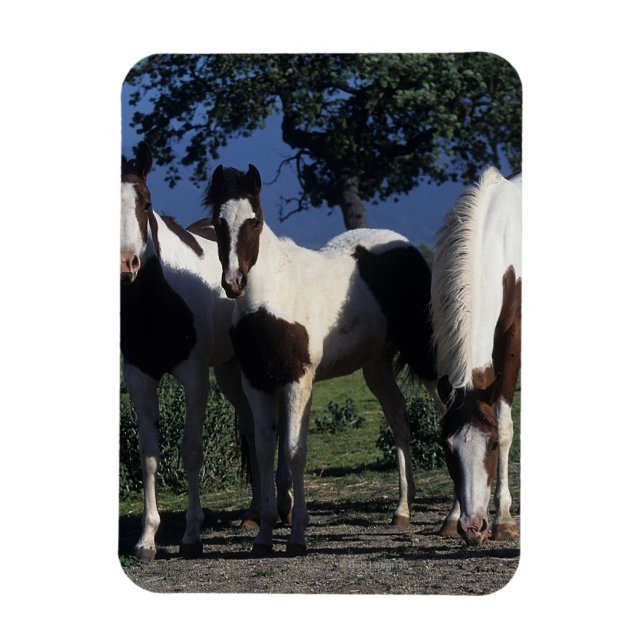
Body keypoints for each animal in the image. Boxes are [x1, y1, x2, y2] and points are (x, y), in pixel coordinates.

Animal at [120, 143, 292, 561]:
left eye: (146, 202)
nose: (127, 263)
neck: (157, 299)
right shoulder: (138, 376)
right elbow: (149, 455)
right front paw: (146, 539)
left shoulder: (194, 376)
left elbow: (192, 451)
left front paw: (191, 535)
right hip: (231, 371)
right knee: (250, 427)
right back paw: (253, 514)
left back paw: (282, 506)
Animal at [202, 163, 438, 556]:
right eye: (218, 222)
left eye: (254, 222)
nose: (233, 282)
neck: (271, 297)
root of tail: (405, 247)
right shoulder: (257, 383)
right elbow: (264, 451)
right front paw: (264, 535)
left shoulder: (298, 381)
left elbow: (294, 450)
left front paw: (297, 535)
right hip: (376, 366)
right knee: (399, 419)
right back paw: (403, 509)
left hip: (424, 354)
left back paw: (459, 516)